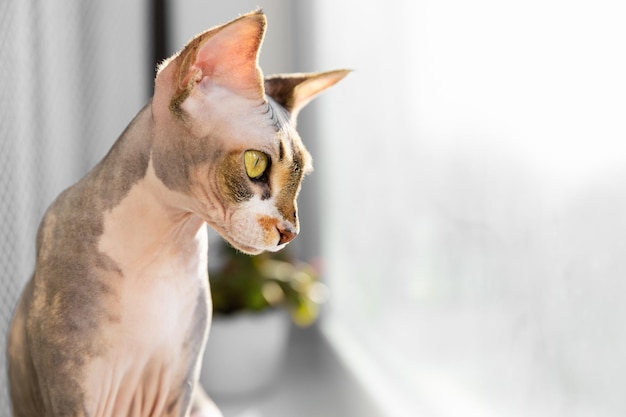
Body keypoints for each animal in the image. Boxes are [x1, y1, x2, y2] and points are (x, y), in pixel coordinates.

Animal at [7, 10, 346, 416]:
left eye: (302, 177)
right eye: (256, 164)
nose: (290, 233)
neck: (158, 247)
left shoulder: (179, 385)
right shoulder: (72, 391)